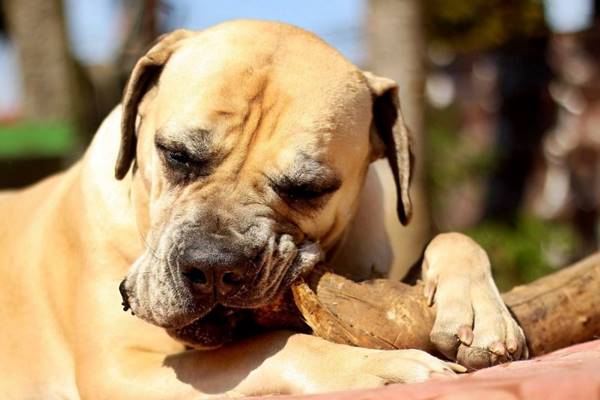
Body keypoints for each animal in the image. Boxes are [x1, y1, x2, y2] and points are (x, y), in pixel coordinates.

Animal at [0, 20, 524, 398]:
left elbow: (454, 237)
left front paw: (479, 312)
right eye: (176, 154)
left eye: (309, 189)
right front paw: (382, 365)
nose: (214, 266)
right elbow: (273, 345)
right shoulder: (120, 369)